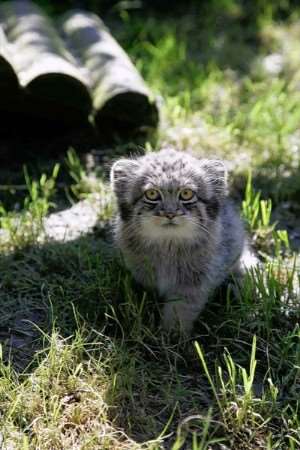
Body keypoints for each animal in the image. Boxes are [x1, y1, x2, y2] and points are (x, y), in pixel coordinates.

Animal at [110, 148, 248, 334]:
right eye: (152, 194)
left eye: (186, 194)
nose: (170, 213)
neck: (168, 245)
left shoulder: (193, 282)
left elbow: (180, 309)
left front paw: (171, 334)